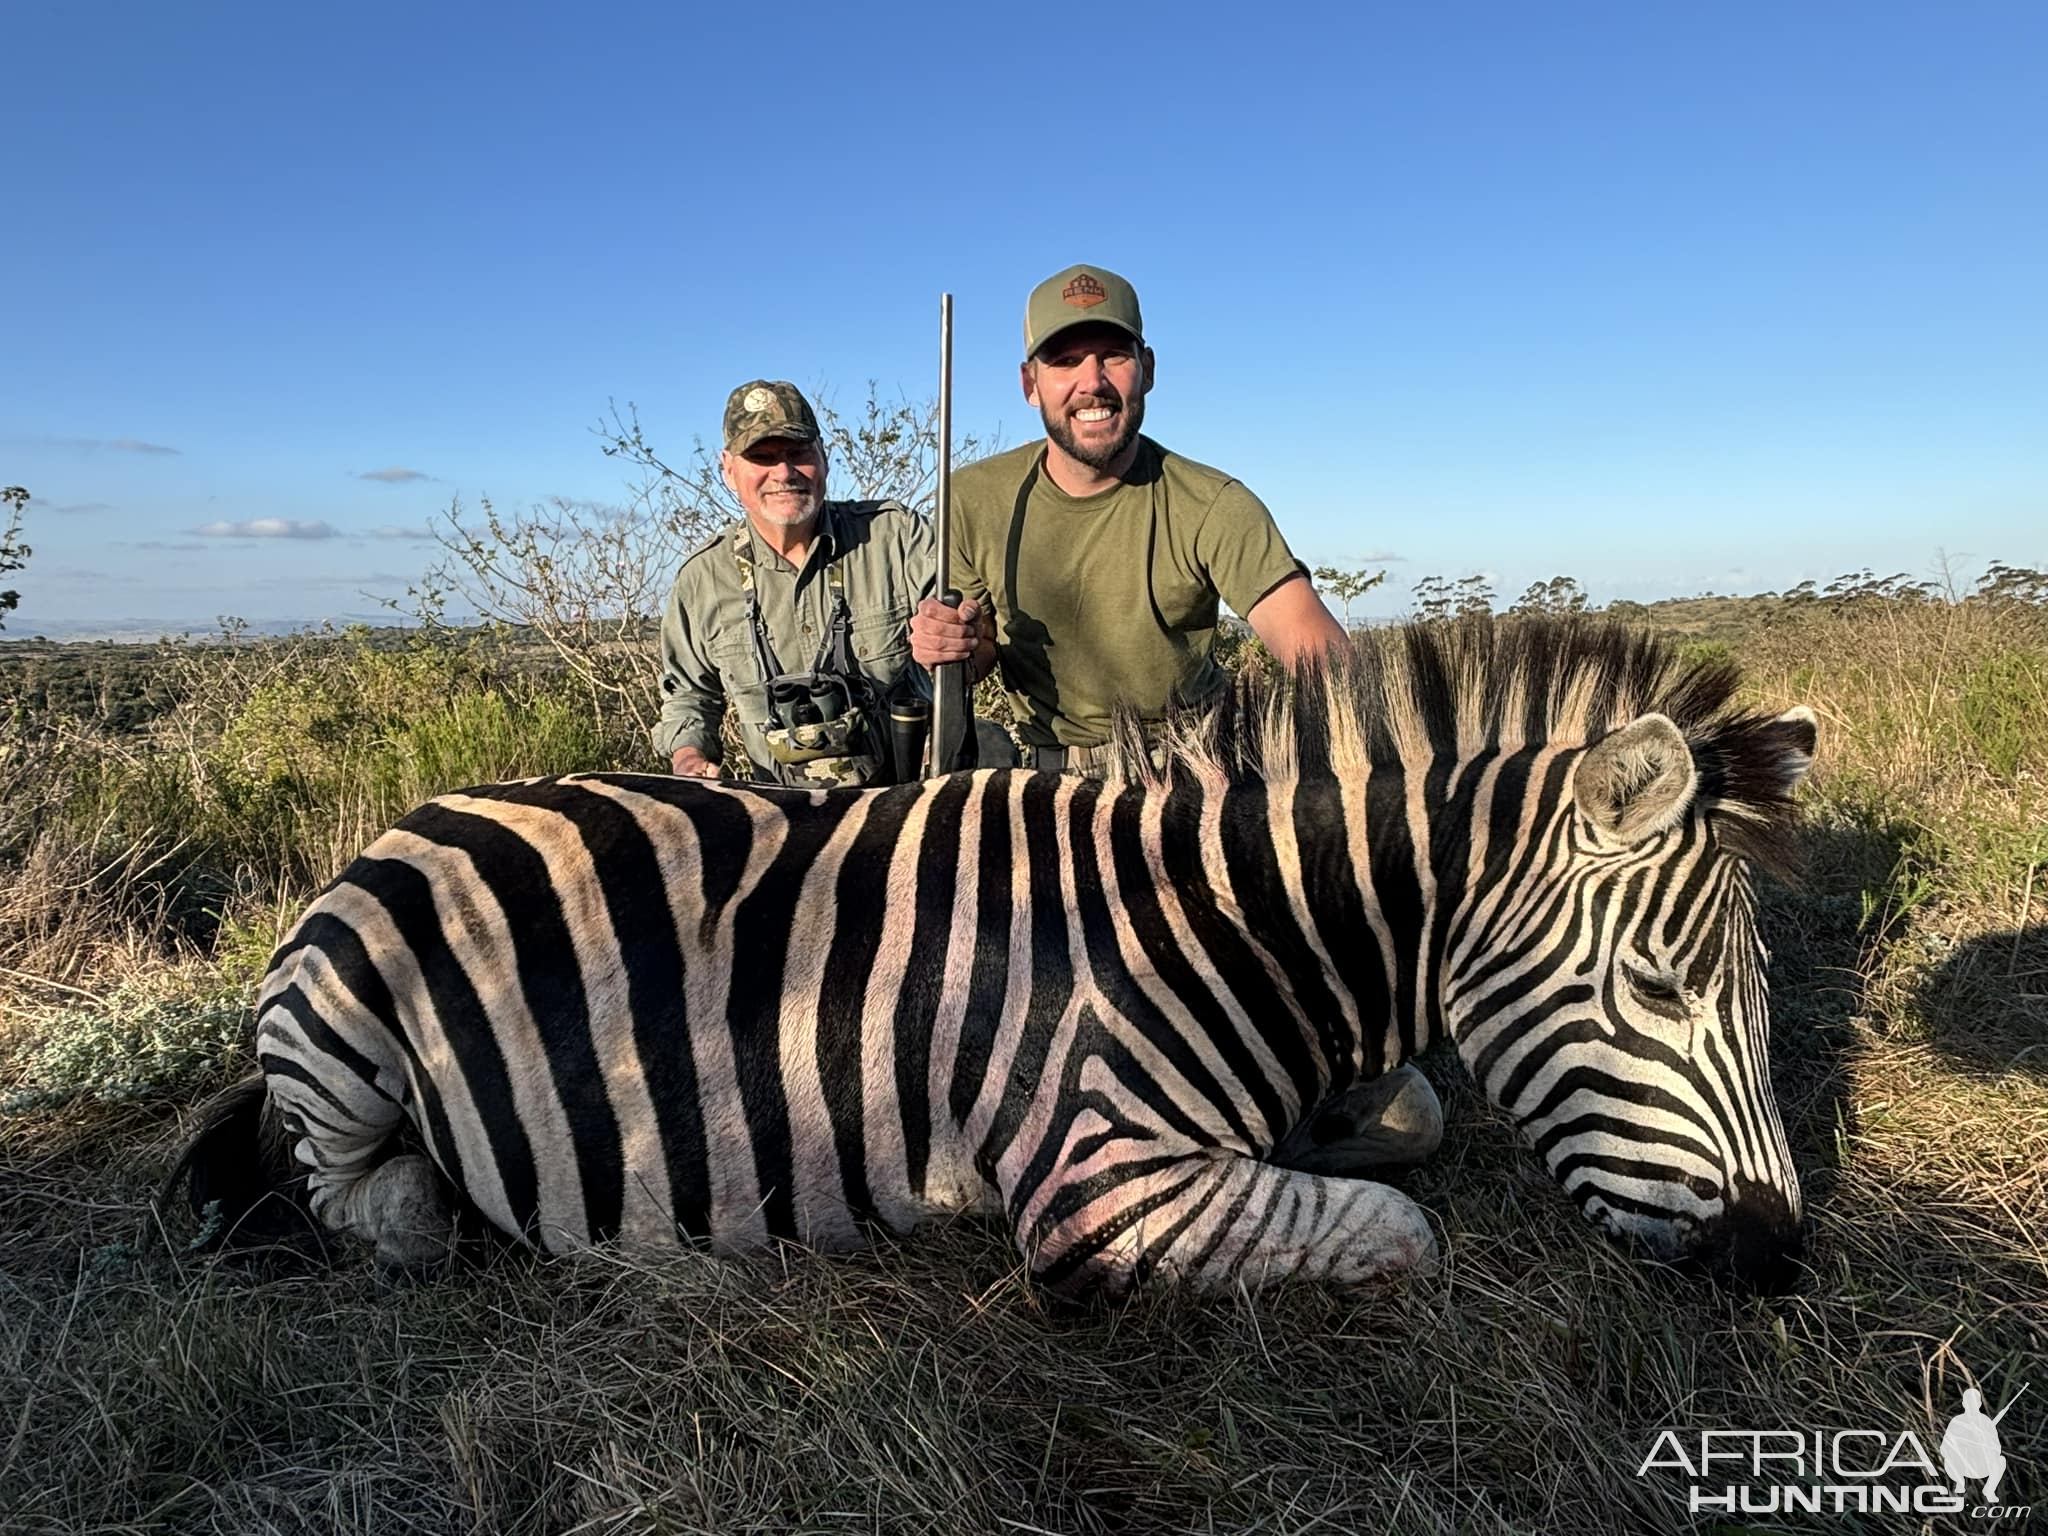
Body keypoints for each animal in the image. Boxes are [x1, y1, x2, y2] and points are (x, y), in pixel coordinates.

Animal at [172, 614, 1810, 1302]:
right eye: (1660, 992)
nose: (1778, 1260)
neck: (1221, 923)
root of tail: (413, 817)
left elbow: (1402, 1123)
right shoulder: (1098, 1175)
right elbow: (1403, 1235)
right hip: (345, 1057)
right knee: (370, 1201)